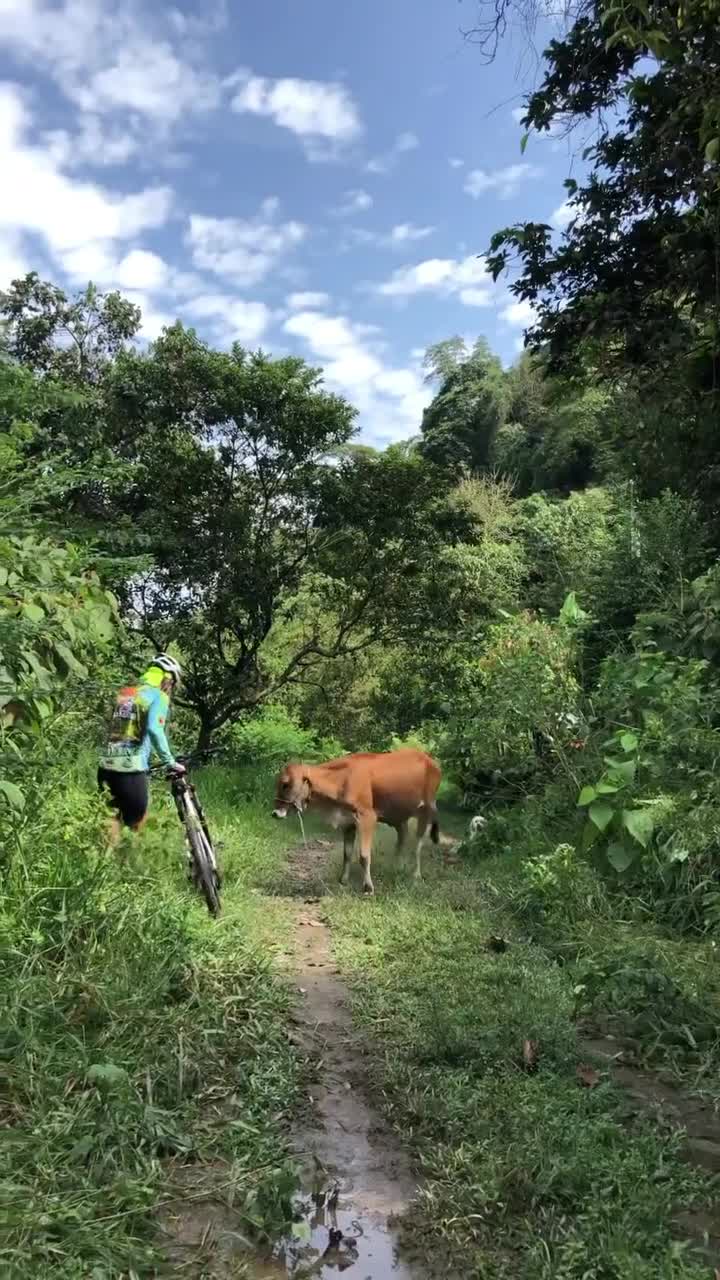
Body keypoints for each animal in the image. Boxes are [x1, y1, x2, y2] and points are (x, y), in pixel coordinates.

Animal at [269, 747, 438, 896]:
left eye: (286, 784)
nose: (275, 813)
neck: (341, 781)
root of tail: (429, 760)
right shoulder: (348, 822)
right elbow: (347, 853)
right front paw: (343, 880)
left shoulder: (367, 817)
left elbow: (364, 855)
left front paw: (368, 887)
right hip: (399, 817)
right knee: (402, 839)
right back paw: (397, 867)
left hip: (426, 809)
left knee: (418, 845)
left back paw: (416, 875)